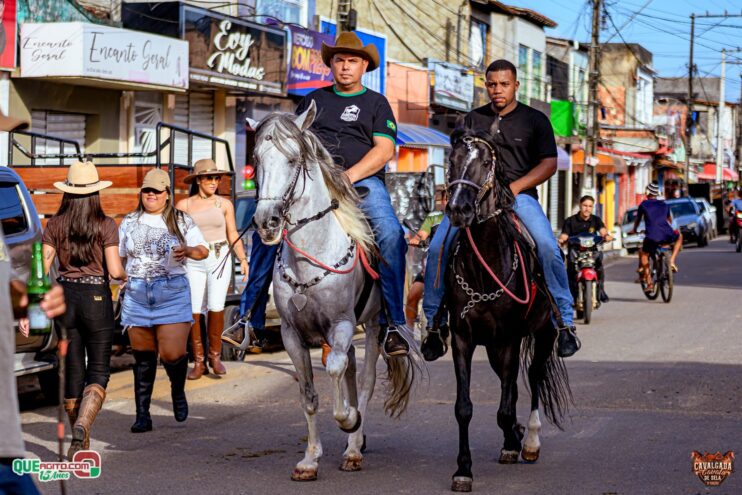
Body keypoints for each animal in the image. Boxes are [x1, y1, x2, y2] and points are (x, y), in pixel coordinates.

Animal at [250, 100, 417, 481]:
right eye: (256, 159)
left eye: (293, 160)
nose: (266, 222)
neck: (310, 255)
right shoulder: (290, 334)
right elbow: (309, 394)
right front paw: (310, 459)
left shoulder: (341, 324)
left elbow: (338, 374)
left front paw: (349, 422)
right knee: (352, 371)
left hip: (373, 325)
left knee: (365, 380)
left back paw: (354, 446)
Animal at [443, 123, 572, 492]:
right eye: (452, 159)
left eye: (486, 162)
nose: (458, 209)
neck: (483, 267)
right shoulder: (462, 339)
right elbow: (464, 407)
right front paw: (463, 469)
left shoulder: (512, 337)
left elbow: (507, 401)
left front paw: (515, 442)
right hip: (494, 345)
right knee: (510, 384)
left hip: (542, 334)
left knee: (533, 377)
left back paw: (528, 441)